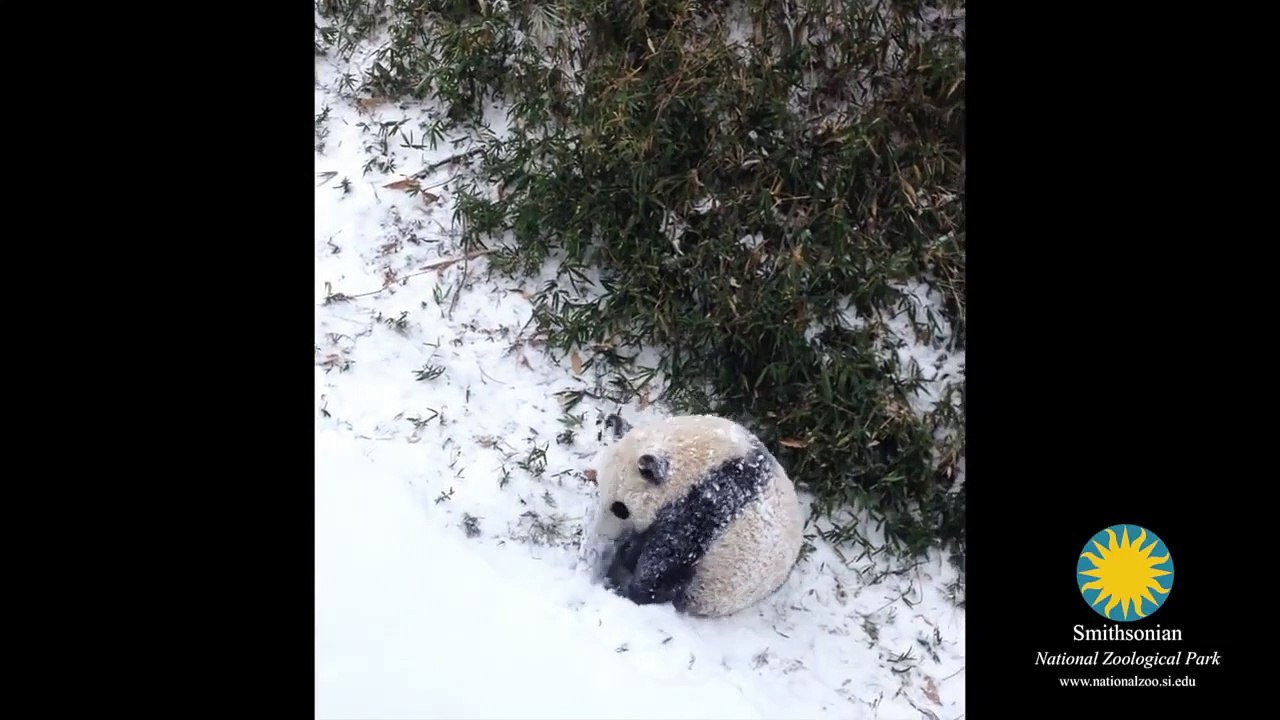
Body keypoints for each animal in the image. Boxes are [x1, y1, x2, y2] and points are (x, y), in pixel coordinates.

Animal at [581, 413, 806, 618]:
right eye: (599, 486)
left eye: (620, 509)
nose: (604, 534)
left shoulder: (707, 506)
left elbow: (666, 559)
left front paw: (629, 587)